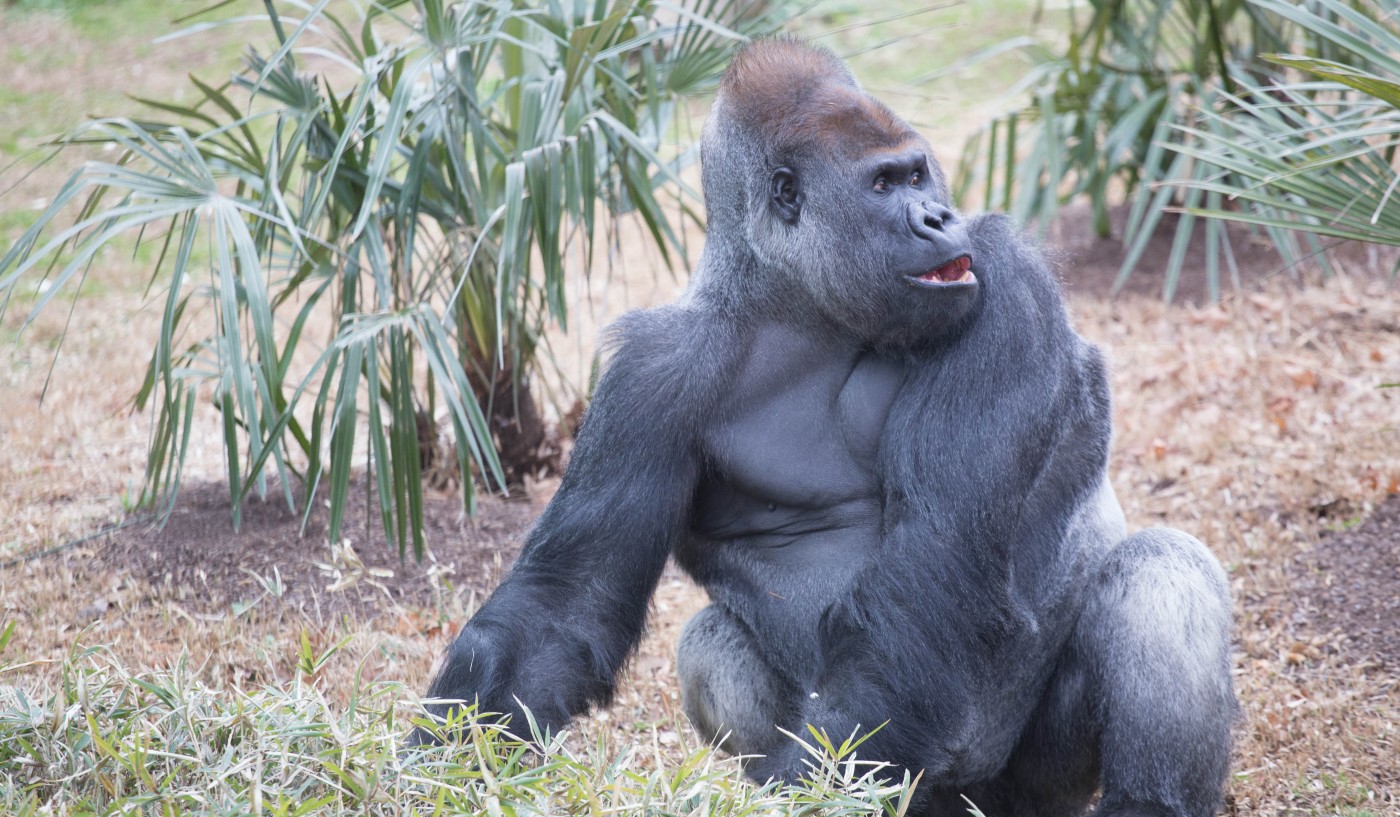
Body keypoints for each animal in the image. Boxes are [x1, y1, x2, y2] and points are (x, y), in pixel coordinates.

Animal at [417, 38, 1237, 817]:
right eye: (883, 185)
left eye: (919, 176)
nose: (939, 219)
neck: (799, 308)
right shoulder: (650, 373)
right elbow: (566, 606)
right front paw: (448, 765)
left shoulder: (1003, 276)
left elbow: (929, 566)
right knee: (710, 642)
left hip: (1035, 789)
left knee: (1160, 567)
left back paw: (1146, 802)